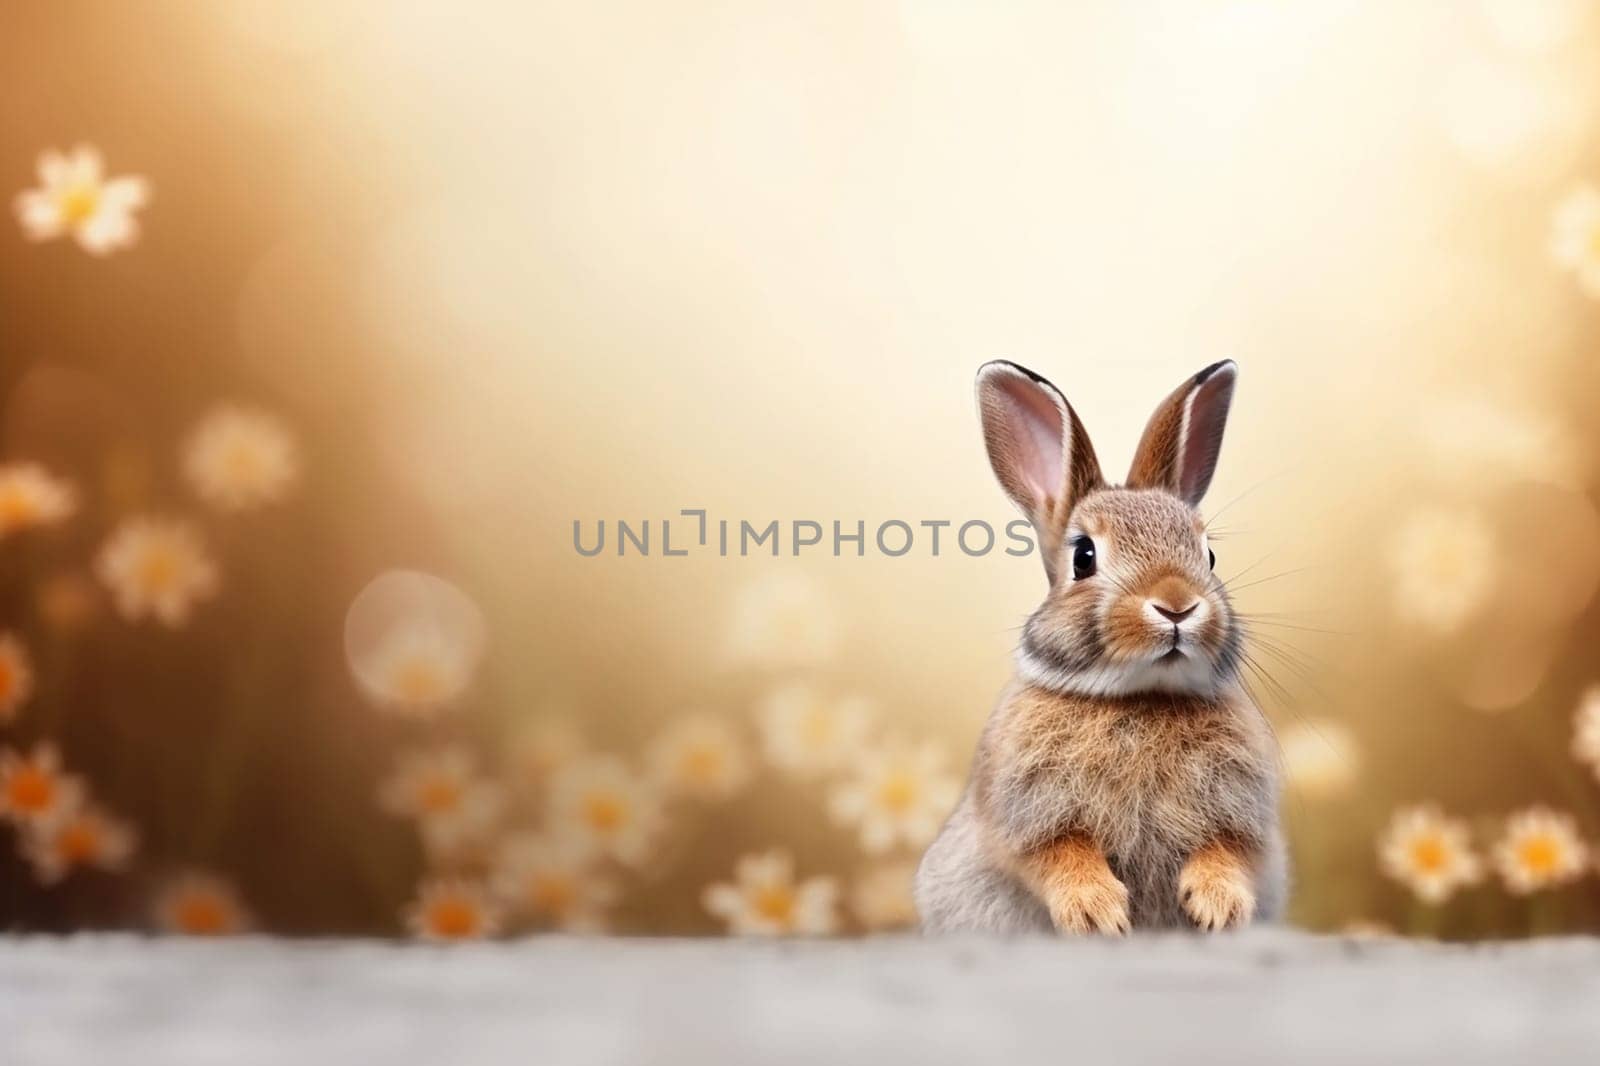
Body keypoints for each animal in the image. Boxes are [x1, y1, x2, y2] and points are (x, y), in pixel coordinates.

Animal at [915, 356, 1286, 928]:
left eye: (1209, 555)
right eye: (1083, 557)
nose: (1176, 605)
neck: (1141, 696)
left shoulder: (1241, 816)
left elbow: (1226, 848)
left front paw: (1219, 906)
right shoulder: (1028, 816)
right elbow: (1058, 852)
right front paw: (1096, 912)